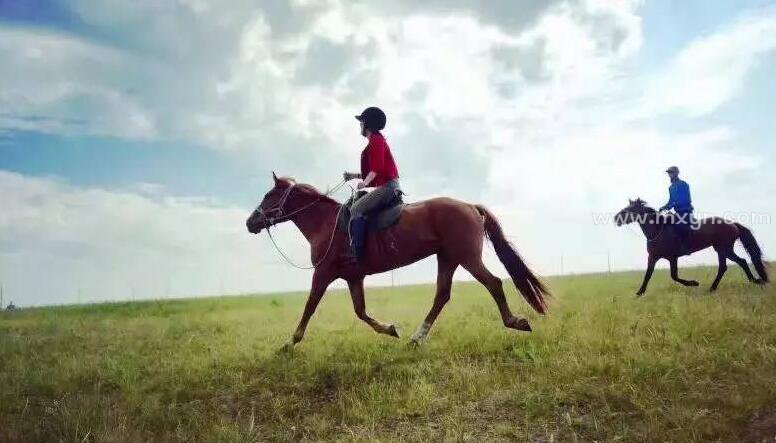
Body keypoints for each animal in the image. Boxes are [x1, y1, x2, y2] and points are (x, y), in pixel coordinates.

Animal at [246, 173, 548, 350]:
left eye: (269, 195)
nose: (250, 222)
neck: (326, 224)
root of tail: (470, 206)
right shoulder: (354, 278)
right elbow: (360, 312)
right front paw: (390, 329)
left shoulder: (322, 274)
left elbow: (309, 307)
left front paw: (290, 343)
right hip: (448, 258)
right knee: (442, 295)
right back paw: (417, 337)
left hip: (466, 257)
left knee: (493, 283)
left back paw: (515, 321)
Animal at [616, 199, 768, 296]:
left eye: (629, 209)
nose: (616, 218)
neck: (658, 230)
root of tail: (733, 224)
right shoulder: (653, 257)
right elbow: (648, 275)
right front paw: (640, 292)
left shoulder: (672, 257)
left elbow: (674, 276)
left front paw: (694, 283)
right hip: (721, 249)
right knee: (733, 264)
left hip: (724, 249)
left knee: (737, 263)